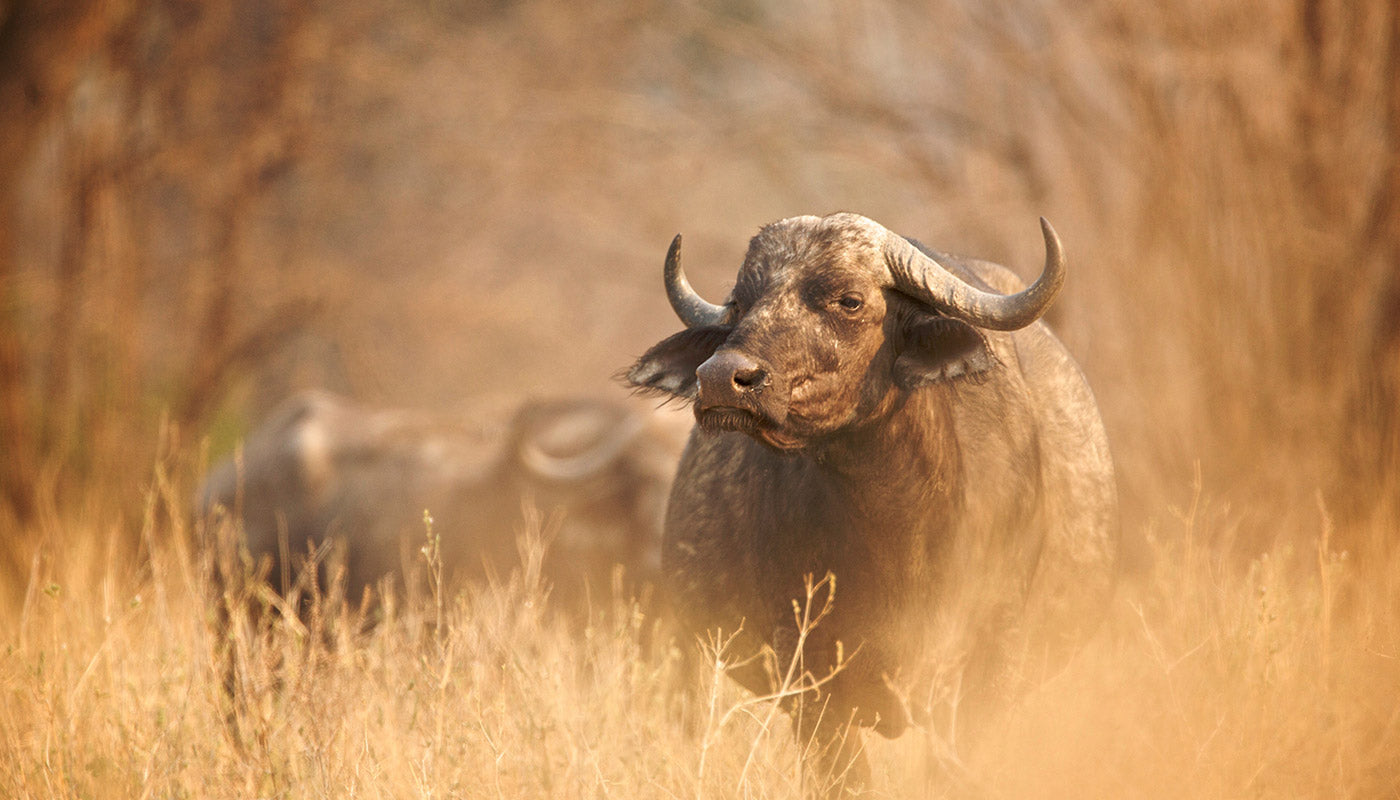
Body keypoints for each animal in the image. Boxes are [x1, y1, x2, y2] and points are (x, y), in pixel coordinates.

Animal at [626, 213, 1118, 794]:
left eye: (849, 300)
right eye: (741, 301)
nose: (722, 377)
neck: (899, 538)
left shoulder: (987, 669)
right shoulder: (809, 677)